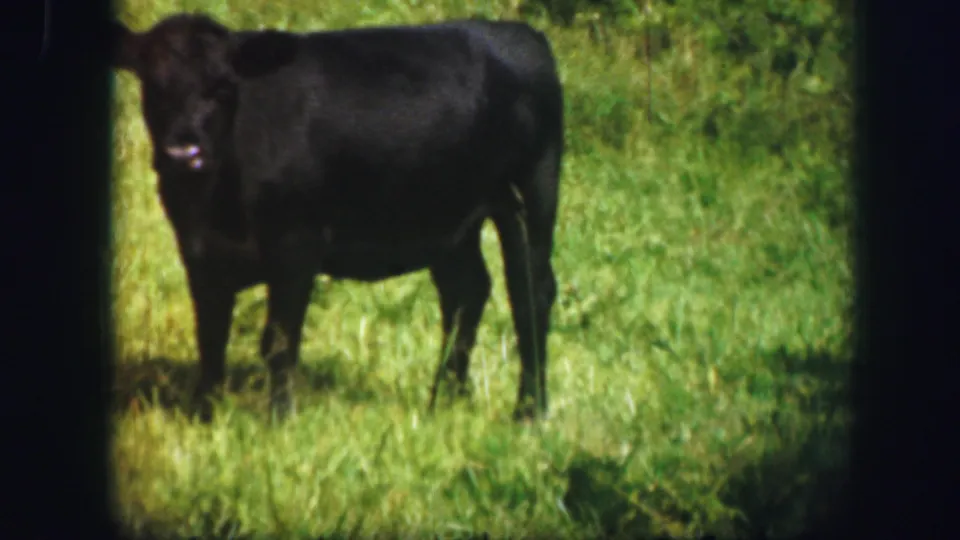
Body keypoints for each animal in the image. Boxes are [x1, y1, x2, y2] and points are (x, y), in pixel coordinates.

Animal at [111, 13, 564, 423]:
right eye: (152, 86)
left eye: (223, 87)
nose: (183, 152)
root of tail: (516, 32)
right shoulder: (198, 250)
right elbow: (210, 337)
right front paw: (203, 416)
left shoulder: (297, 243)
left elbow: (279, 341)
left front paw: (280, 421)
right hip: (449, 219)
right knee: (466, 292)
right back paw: (443, 402)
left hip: (531, 189)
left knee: (530, 291)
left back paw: (528, 411)